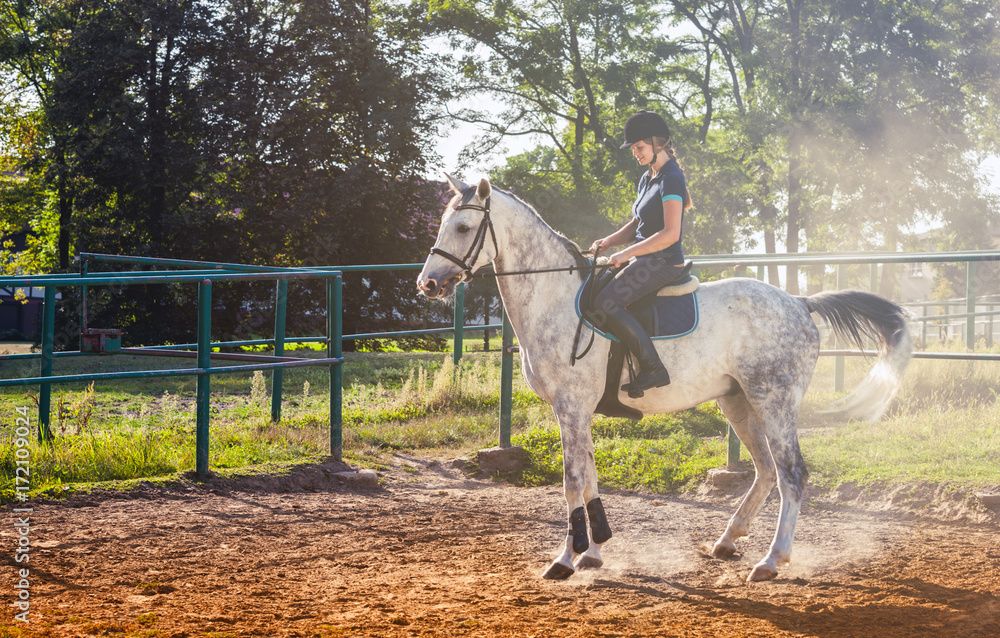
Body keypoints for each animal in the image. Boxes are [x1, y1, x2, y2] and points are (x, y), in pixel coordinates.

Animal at [414, 176, 908, 584]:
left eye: (463, 228)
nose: (427, 284)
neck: (555, 301)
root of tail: (800, 303)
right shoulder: (578, 411)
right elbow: (590, 476)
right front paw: (594, 552)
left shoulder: (571, 406)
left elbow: (572, 480)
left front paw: (565, 559)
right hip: (738, 402)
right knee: (766, 471)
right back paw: (728, 540)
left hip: (774, 400)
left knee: (792, 474)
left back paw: (771, 561)